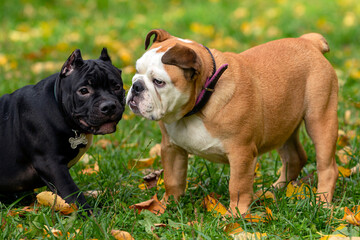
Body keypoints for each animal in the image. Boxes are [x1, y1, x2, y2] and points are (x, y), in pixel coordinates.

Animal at [0, 48, 126, 212]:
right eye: (84, 91)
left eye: (117, 87)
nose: (109, 105)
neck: (59, 107)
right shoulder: (51, 164)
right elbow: (72, 192)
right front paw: (89, 213)